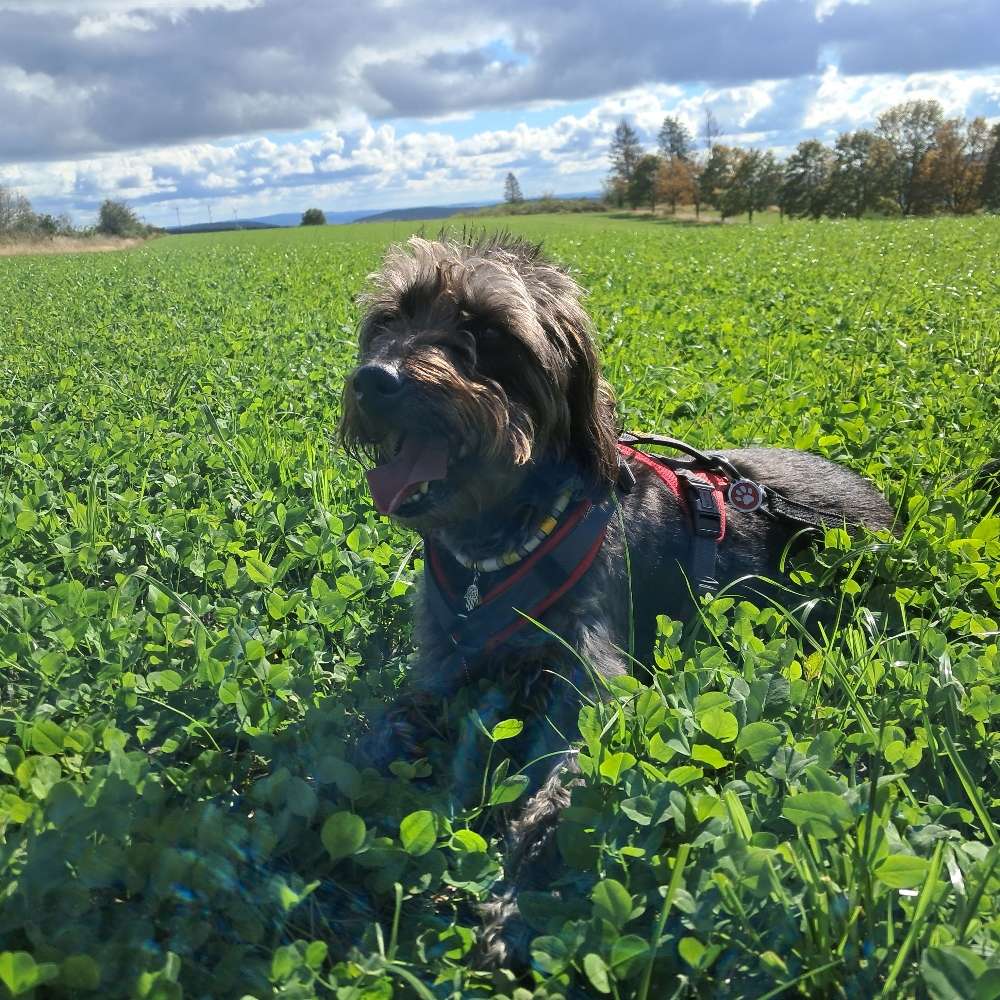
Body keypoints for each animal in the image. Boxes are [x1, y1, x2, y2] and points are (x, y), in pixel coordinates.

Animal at [340, 230, 896, 964]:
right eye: (390, 319)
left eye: (485, 331)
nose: (375, 380)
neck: (496, 541)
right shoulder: (441, 660)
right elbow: (383, 733)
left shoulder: (591, 675)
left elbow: (565, 792)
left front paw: (523, 903)